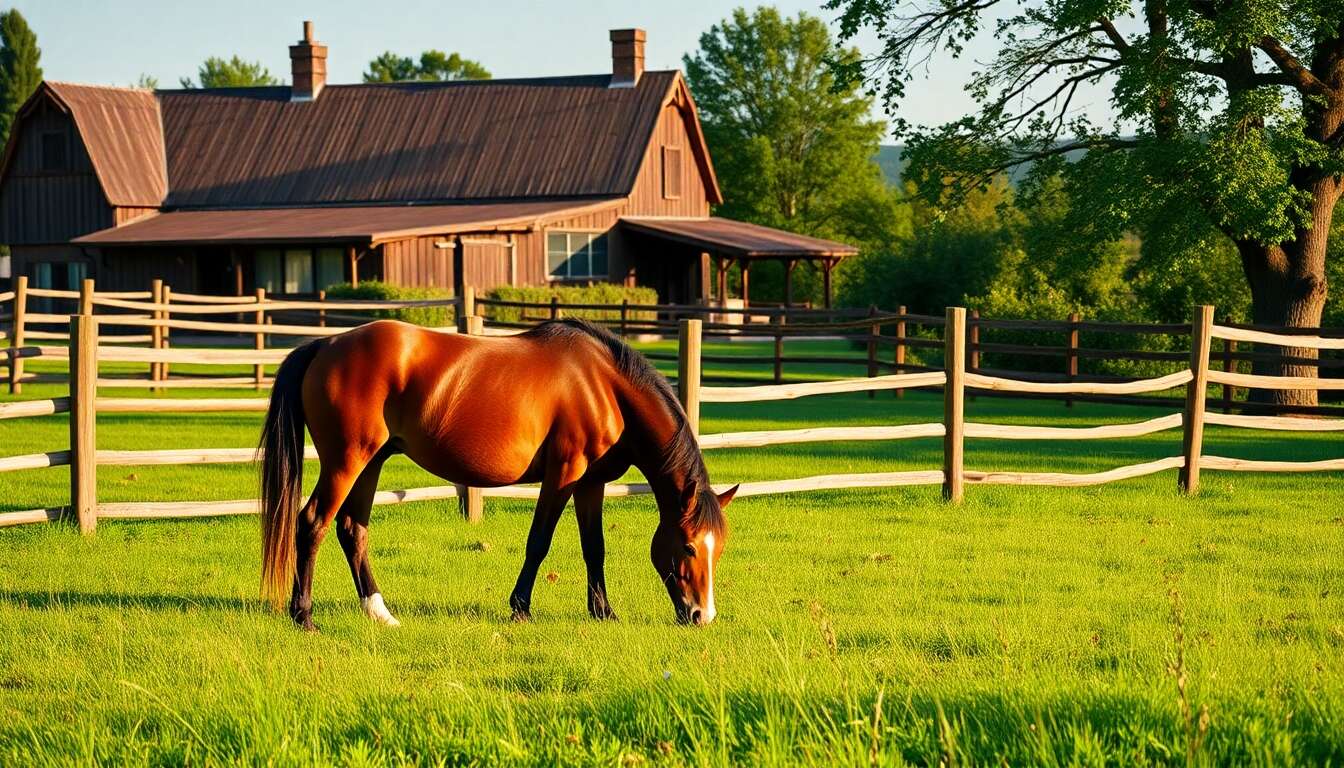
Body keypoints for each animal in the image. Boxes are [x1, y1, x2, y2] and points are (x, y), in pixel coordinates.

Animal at [258, 318, 737, 630]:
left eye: (719, 549)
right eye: (690, 547)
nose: (703, 616)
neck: (603, 385)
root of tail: (325, 345)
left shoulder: (591, 482)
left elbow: (594, 548)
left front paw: (603, 612)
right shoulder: (564, 473)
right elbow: (539, 541)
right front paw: (521, 607)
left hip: (371, 462)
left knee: (352, 530)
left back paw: (380, 612)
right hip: (346, 461)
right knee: (312, 523)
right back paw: (303, 616)